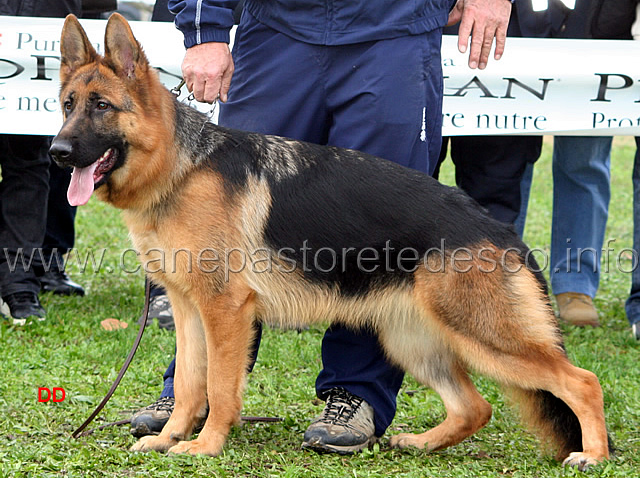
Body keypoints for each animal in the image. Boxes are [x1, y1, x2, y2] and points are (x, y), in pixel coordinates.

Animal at [51, 14, 608, 470]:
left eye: (102, 107)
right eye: (67, 105)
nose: (56, 152)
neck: (180, 168)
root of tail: (499, 229)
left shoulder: (226, 311)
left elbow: (220, 388)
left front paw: (205, 446)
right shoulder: (190, 312)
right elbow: (189, 385)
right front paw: (170, 437)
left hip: (485, 336)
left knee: (582, 381)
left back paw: (593, 456)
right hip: (413, 340)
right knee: (476, 407)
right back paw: (420, 444)